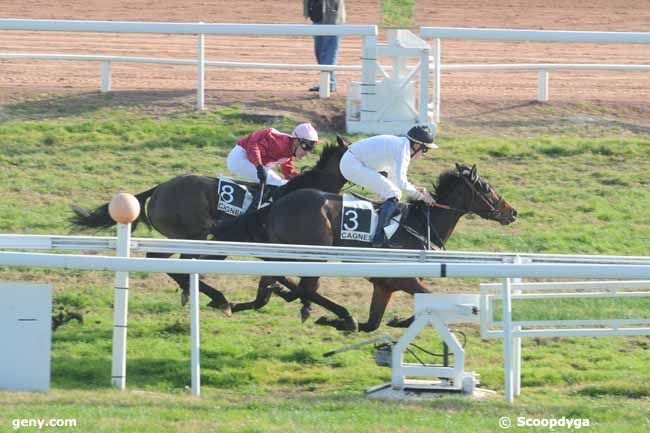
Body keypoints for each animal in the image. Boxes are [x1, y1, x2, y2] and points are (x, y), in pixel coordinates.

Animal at [69, 137, 350, 312]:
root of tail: (159, 188)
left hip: (183, 238)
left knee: (164, 260)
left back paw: (195, 292)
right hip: (192, 235)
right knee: (179, 264)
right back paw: (217, 298)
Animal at [213, 163, 516, 330]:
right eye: (487, 188)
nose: (512, 212)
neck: (420, 225)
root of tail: (276, 205)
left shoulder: (384, 285)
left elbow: (374, 323)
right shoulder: (404, 279)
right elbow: (431, 302)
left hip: (289, 252)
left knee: (284, 281)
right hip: (313, 251)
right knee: (303, 286)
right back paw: (339, 315)